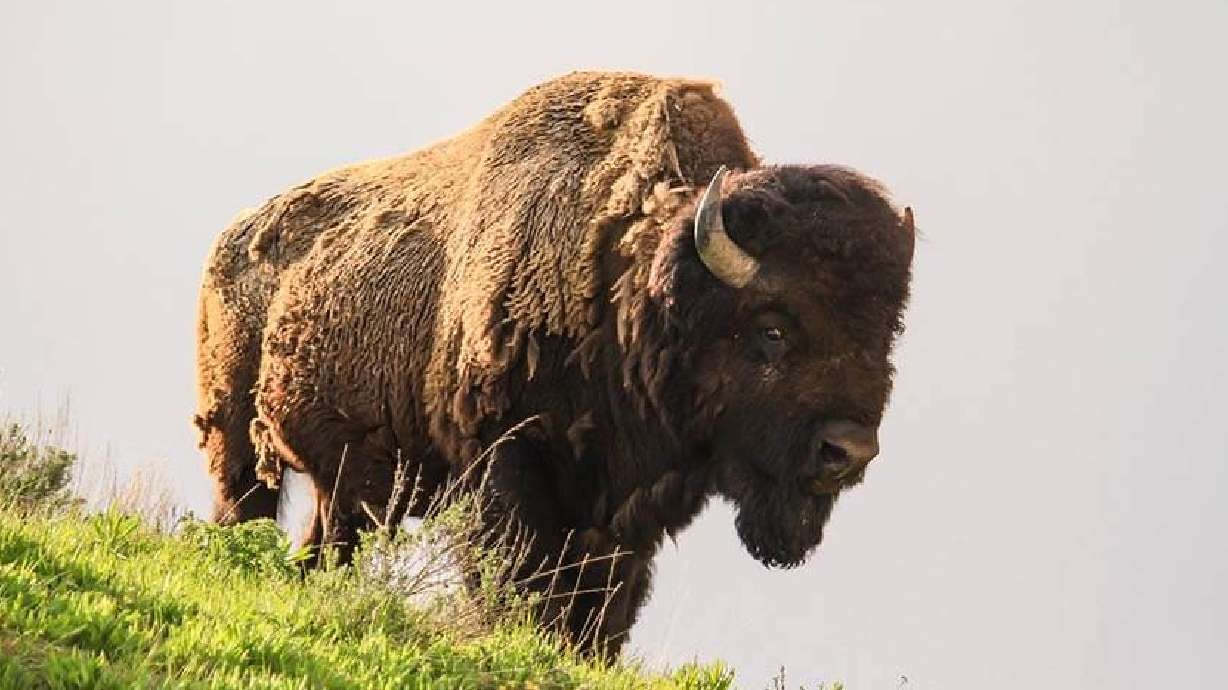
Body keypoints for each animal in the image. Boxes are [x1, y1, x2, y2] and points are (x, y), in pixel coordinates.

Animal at [194, 71, 914, 653]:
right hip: (236, 442)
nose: (847, 451)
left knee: (324, 545)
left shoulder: (622, 519)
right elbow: (518, 583)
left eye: (886, 336)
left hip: (347, 488)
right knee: (245, 508)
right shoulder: (505, 471)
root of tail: (230, 240)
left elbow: (602, 613)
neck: (631, 287)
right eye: (772, 329)